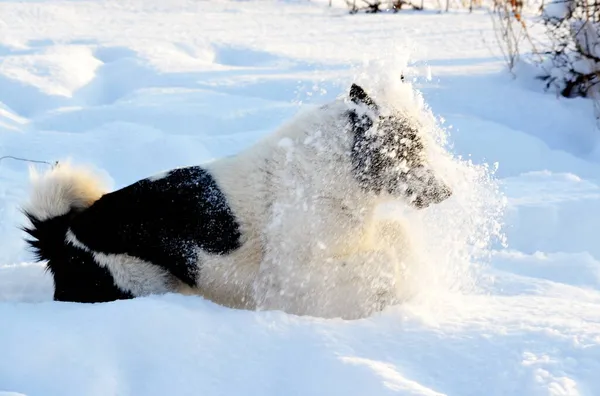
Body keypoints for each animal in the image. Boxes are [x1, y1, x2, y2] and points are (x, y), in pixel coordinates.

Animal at [22, 83, 450, 318]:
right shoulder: (294, 274)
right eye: (407, 151)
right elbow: (385, 259)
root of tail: (64, 235)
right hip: (144, 285)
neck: (327, 169)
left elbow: (395, 239)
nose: (446, 193)